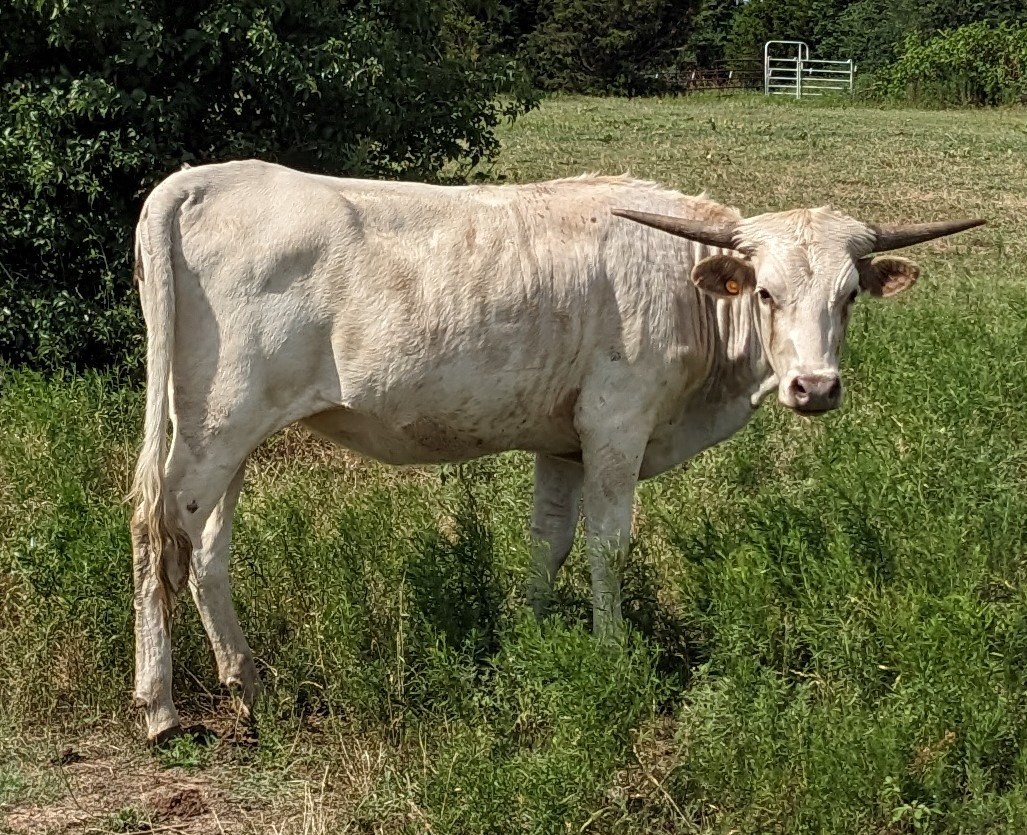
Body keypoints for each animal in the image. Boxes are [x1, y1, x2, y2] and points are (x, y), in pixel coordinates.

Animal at [129, 160, 982, 744]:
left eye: (847, 295)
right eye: (766, 291)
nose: (814, 386)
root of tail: (203, 178)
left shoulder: (563, 441)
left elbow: (550, 540)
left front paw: (529, 635)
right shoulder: (615, 420)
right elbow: (607, 543)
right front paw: (610, 651)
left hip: (230, 431)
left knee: (206, 549)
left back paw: (248, 685)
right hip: (217, 422)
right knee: (156, 531)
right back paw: (162, 706)